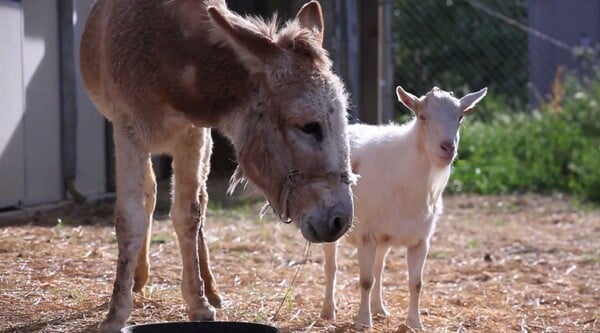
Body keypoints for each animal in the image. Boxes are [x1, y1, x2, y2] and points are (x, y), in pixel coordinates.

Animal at [322, 85, 486, 326]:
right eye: (422, 117)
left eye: (460, 117)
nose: (448, 147)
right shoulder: (367, 236)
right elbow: (365, 280)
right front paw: (363, 322)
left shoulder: (420, 240)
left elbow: (415, 283)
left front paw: (415, 323)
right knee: (331, 266)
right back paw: (328, 311)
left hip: (385, 236)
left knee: (379, 268)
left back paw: (379, 308)